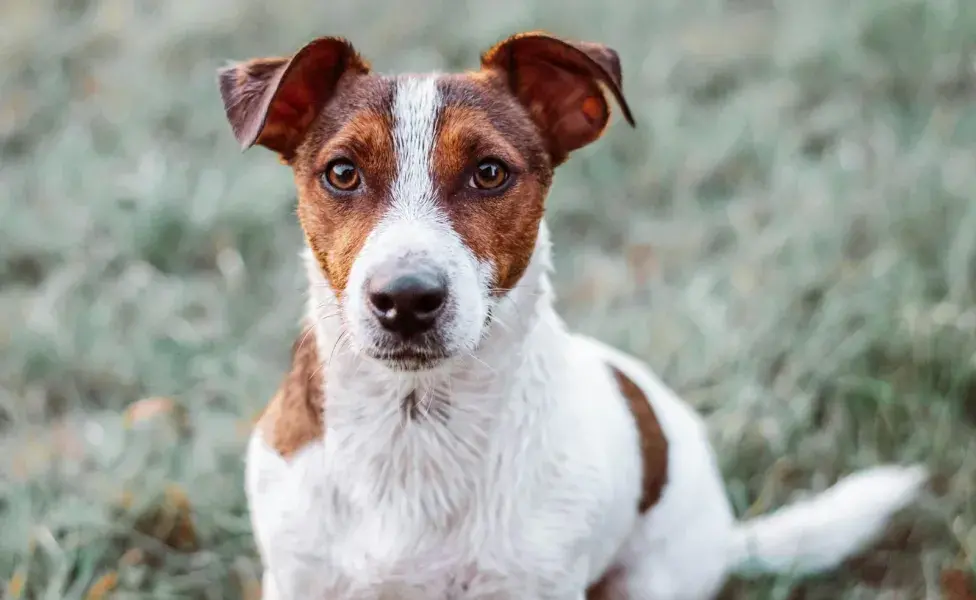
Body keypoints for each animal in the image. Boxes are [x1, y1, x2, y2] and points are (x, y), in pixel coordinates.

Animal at [217, 32, 928, 600]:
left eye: (489, 173)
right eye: (342, 173)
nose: (407, 300)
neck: (414, 425)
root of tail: (727, 534)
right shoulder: (298, 577)